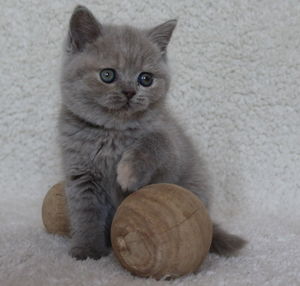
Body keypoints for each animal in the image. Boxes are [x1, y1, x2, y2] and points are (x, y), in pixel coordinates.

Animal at [58, 5, 246, 262]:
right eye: (107, 75)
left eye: (145, 79)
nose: (129, 92)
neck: (113, 133)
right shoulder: (81, 174)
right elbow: (86, 214)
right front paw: (87, 251)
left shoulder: (171, 148)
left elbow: (154, 142)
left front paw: (128, 173)